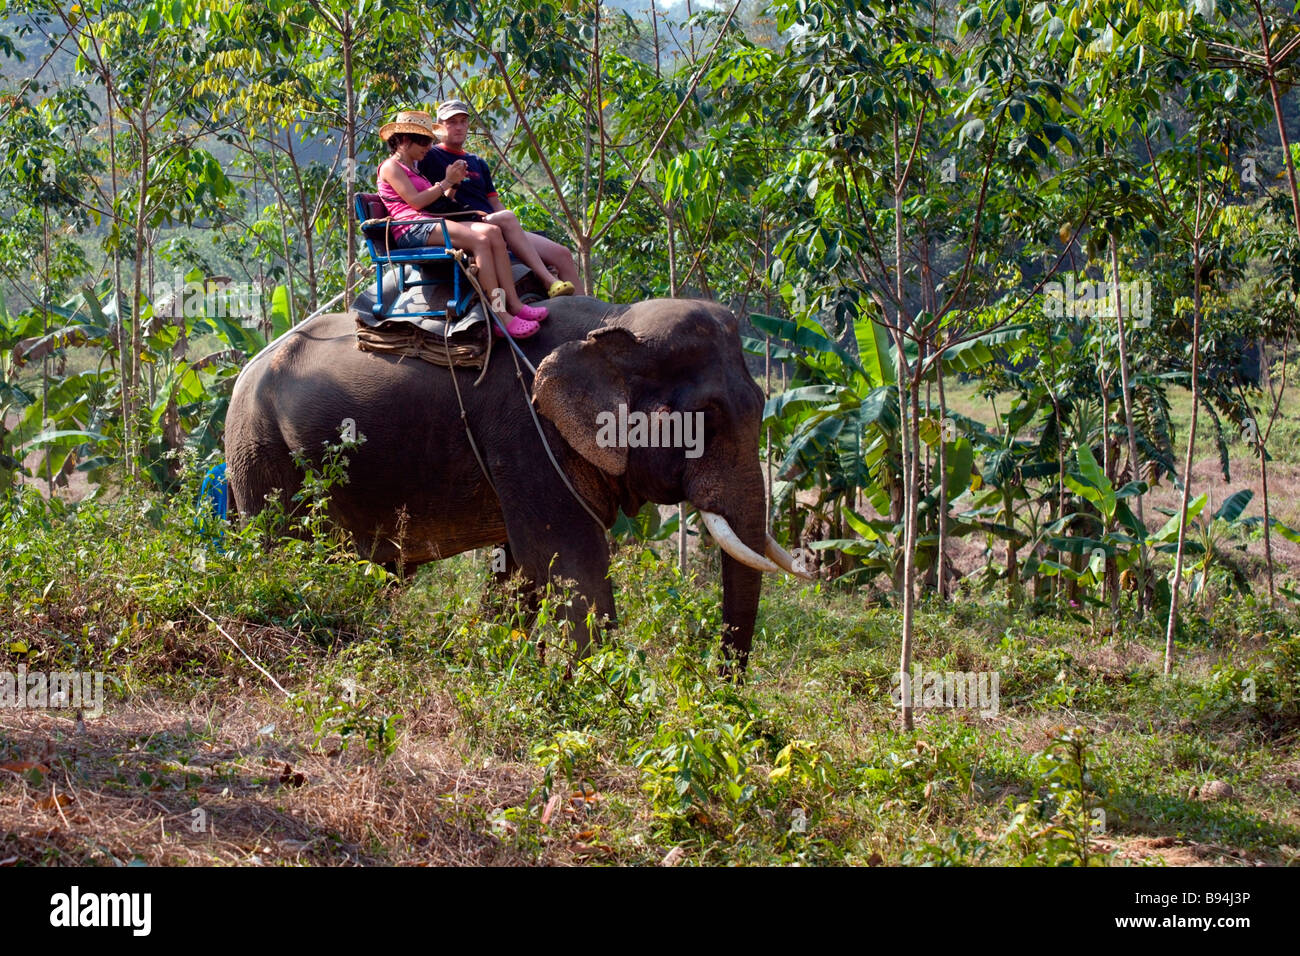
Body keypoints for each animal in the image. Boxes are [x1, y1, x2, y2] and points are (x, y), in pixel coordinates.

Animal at [223, 295, 808, 667]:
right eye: (703, 417)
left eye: (761, 405)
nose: (724, 688)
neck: (614, 321)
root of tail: (243, 372)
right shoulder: (525, 431)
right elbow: (567, 555)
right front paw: (605, 692)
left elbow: (522, 565)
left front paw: (490, 656)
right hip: (262, 450)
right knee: (289, 549)